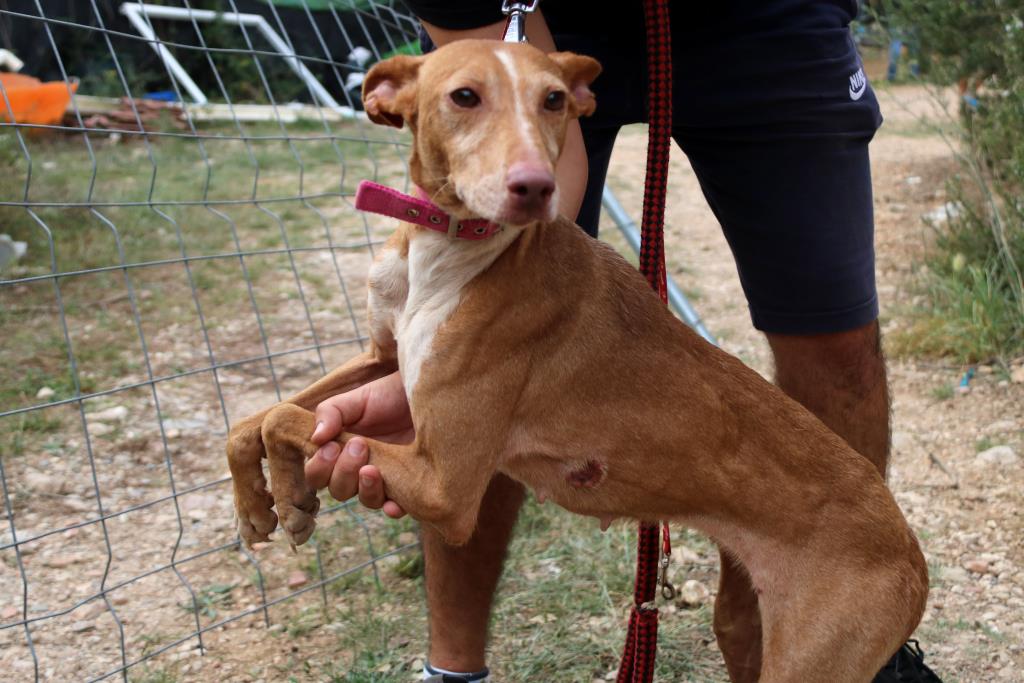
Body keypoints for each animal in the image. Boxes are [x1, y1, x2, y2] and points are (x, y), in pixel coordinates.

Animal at [230, 40, 929, 679]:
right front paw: (263, 507)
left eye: (553, 100)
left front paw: (291, 495)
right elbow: (254, 421)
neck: (450, 249)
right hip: (744, 626)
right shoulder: (385, 358)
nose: (535, 187)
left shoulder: (445, 485)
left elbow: (284, 420)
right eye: (464, 96)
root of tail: (912, 557)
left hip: (812, 658)